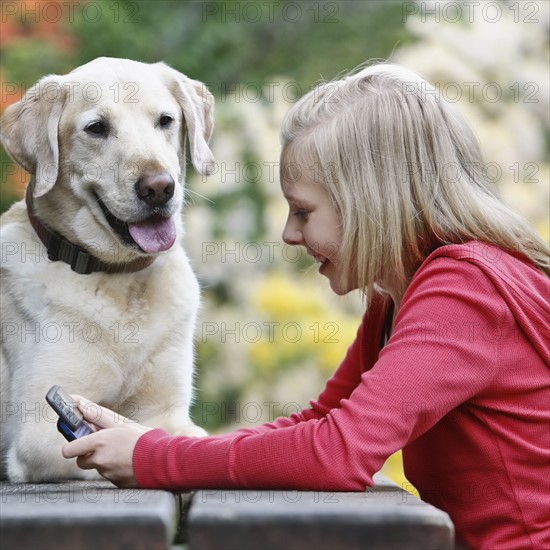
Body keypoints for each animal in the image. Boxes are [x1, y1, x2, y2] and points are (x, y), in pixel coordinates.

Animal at [0, 58, 216, 484]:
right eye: (97, 128)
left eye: (166, 120)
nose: (158, 188)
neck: (121, 280)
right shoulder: (39, 432)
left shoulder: (166, 413)